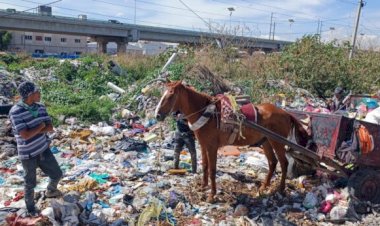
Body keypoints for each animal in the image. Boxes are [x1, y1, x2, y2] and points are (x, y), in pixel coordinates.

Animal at [155, 81, 308, 203]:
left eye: (170, 96)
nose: (157, 115)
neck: (207, 113)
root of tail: (286, 113)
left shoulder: (212, 147)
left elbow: (212, 169)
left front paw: (212, 195)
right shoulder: (204, 145)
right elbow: (204, 166)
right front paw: (203, 186)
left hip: (277, 142)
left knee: (284, 163)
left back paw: (280, 189)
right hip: (266, 142)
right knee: (272, 162)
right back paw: (264, 187)